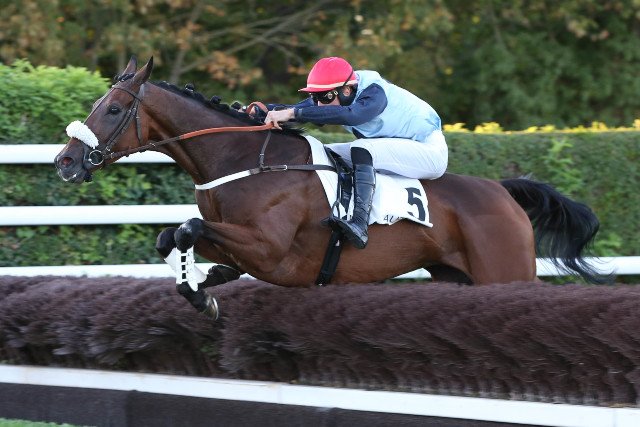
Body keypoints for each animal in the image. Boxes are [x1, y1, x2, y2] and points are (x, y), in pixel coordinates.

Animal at [55, 56, 606, 318]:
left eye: (112, 109)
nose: (65, 162)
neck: (242, 161)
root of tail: (504, 193)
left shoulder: (269, 248)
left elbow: (187, 228)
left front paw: (200, 291)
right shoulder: (235, 239)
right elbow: (170, 236)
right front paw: (204, 283)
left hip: (504, 272)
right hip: (458, 278)